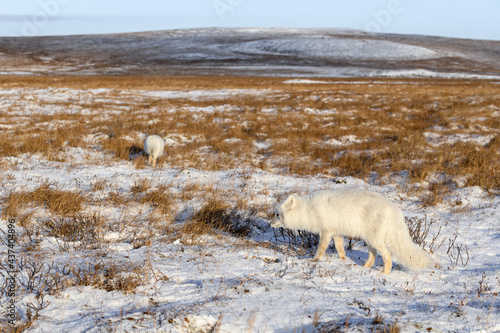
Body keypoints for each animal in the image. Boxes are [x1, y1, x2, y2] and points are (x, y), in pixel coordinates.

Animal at [272, 188, 432, 274]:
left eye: (277, 214)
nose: (269, 223)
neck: (308, 210)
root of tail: (394, 209)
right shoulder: (336, 233)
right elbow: (340, 249)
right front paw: (343, 261)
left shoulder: (326, 232)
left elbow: (321, 249)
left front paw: (314, 260)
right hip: (369, 240)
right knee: (373, 256)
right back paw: (364, 268)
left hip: (375, 240)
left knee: (387, 256)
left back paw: (384, 273)